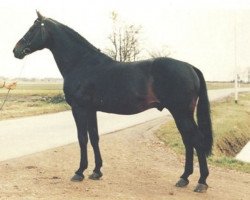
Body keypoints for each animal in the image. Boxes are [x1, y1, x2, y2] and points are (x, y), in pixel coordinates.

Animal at [13, 11, 212, 193]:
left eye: (32, 29)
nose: (16, 50)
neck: (82, 63)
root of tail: (189, 67)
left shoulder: (79, 108)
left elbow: (82, 138)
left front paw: (79, 172)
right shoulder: (91, 110)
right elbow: (94, 137)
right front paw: (96, 171)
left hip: (181, 113)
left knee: (196, 140)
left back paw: (201, 182)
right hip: (180, 114)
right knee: (188, 141)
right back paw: (184, 178)